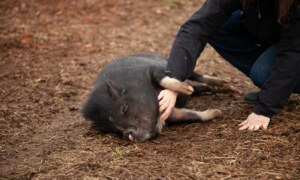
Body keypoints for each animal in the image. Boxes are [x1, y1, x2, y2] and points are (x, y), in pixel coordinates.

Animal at [83, 54, 233, 143]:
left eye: (124, 108)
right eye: (113, 129)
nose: (128, 135)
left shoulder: (152, 69)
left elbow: (163, 79)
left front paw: (186, 89)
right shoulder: (171, 114)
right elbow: (191, 115)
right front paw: (217, 112)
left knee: (198, 75)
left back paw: (225, 85)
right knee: (199, 86)